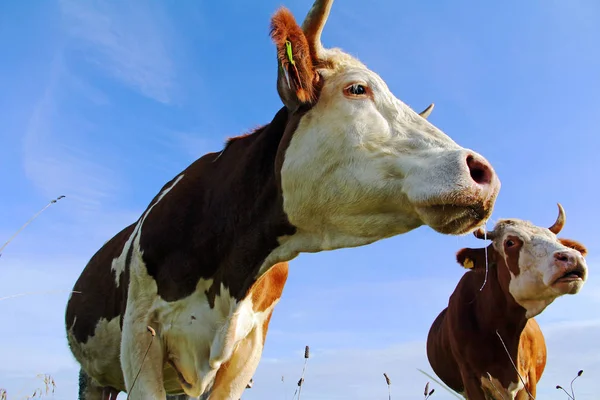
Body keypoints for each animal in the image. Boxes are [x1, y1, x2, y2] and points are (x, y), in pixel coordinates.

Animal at [64, 1, 502, 398]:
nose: (483, 173)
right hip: (95, 378)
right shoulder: (140, 337)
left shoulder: (247, 351)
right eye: (357, 89)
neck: (231, 261)